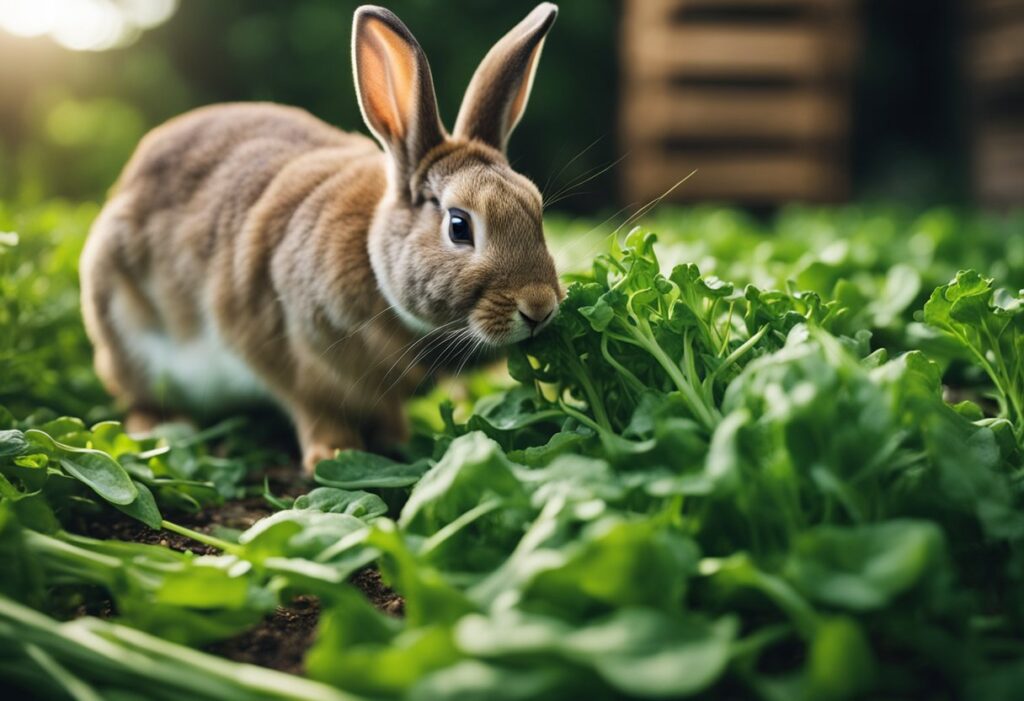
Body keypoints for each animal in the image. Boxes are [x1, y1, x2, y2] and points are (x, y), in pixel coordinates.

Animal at [78, 2, 561, 472]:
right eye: (459, 226)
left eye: (535, 208)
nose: (539, 308)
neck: (371, 258)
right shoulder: (293, 358)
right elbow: (315, 411)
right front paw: (333, 456)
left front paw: (398, 442)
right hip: (124, 336)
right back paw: (160, 427)